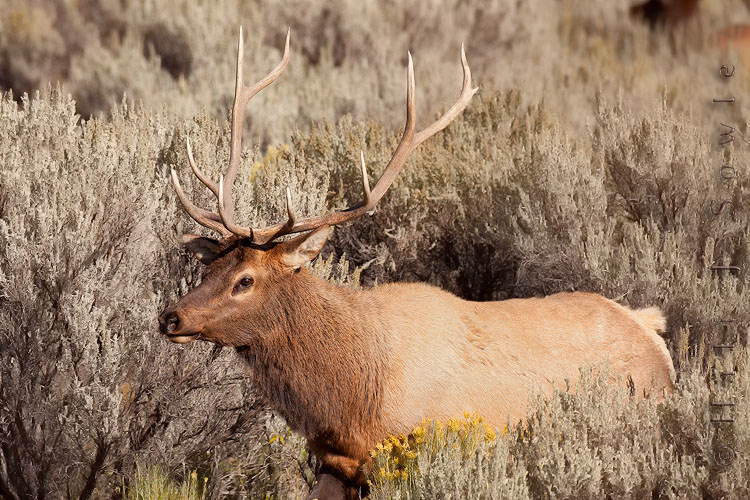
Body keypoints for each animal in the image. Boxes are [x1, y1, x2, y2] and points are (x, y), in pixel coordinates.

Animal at [158, 27, 676, 500]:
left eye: (245, 280)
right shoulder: (337, 463)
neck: (349, 399)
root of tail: (651, 330)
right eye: (208, 270)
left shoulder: (412, 450)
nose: (170, 317)